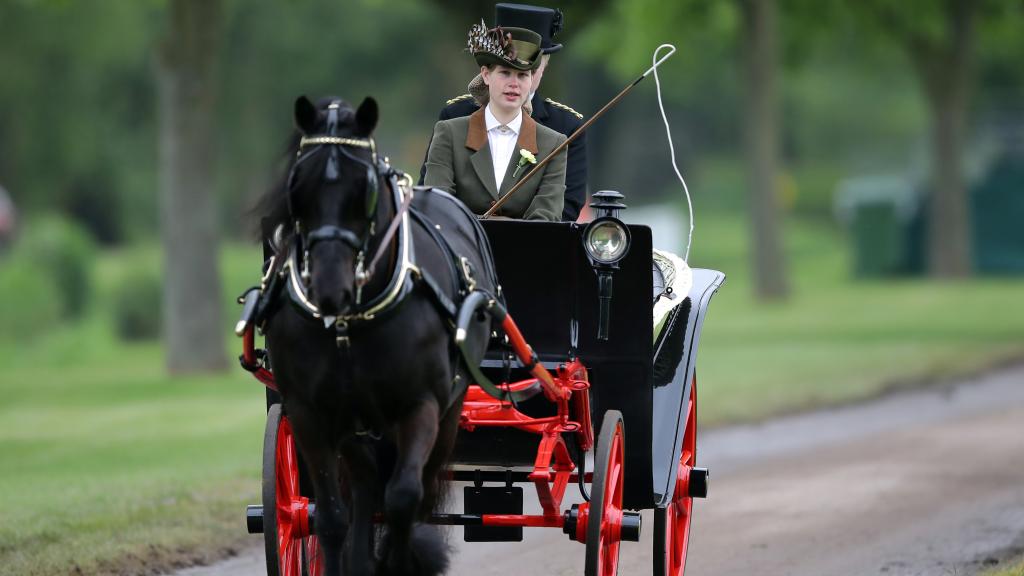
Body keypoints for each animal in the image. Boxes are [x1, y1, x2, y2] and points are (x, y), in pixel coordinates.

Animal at [254, 96, 495, 569]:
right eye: (297, 185)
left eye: (364, 190)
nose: (330, 288)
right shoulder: (310, 412)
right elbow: (331, 516)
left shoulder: (420, 405)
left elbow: (403, 498)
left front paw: (400, 560)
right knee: (364, 485)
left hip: (448, 411)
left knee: (414, 493)